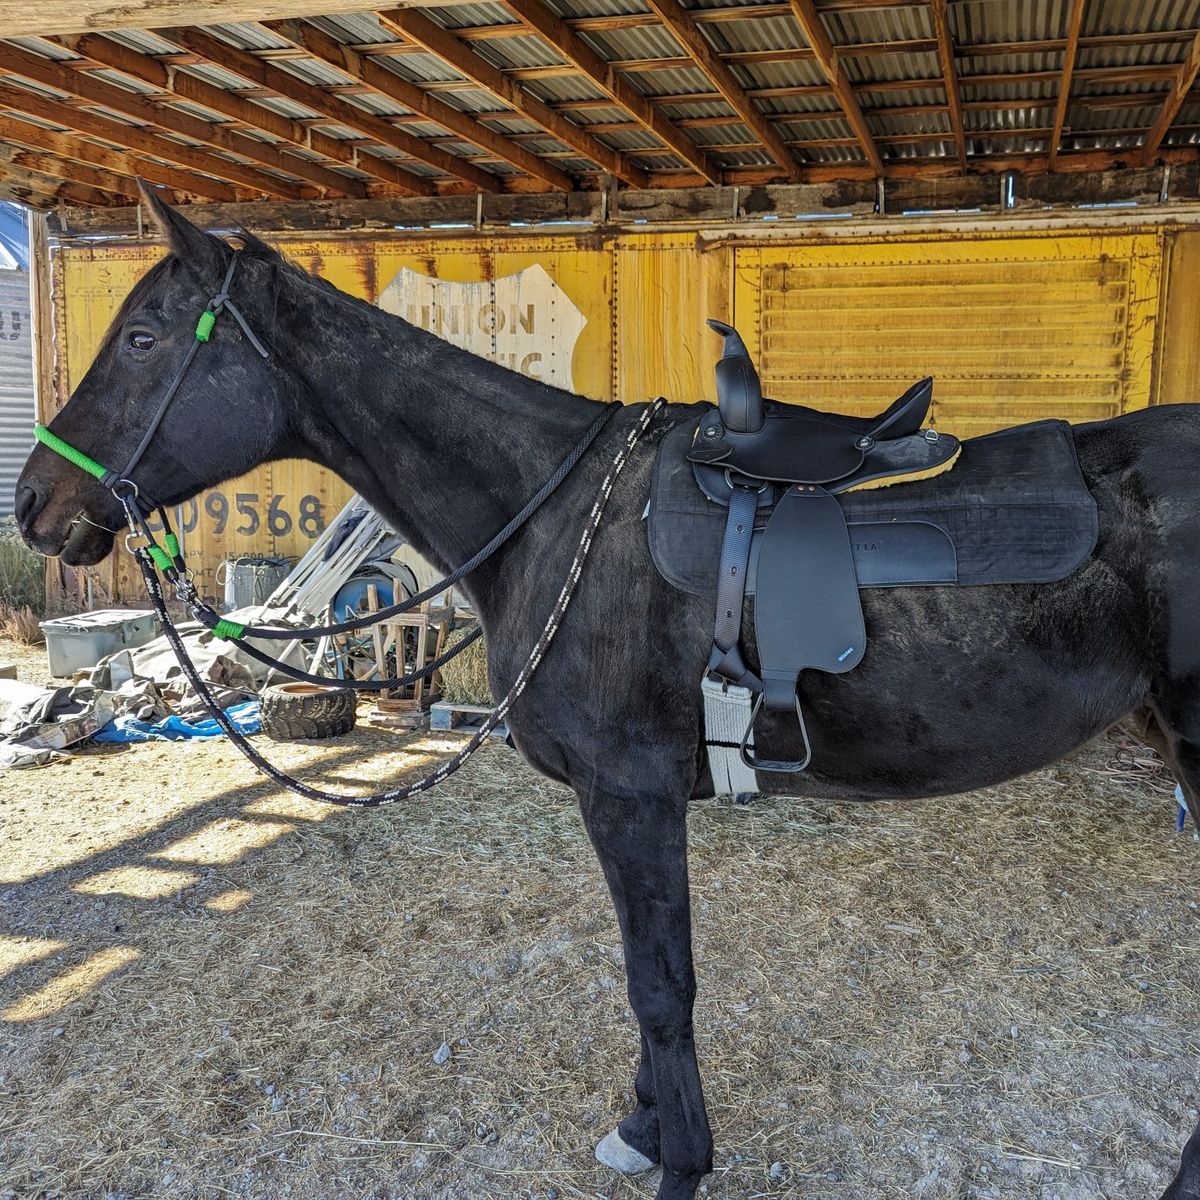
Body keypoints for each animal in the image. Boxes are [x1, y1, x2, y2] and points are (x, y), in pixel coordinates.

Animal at [15, 186, 1200, 1200]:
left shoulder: (629, 796)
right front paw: (642, 1129)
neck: (548, 514)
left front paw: (681, 1159)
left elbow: (660, 985)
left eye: (144, 338)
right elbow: (648, 978)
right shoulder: (627, 803)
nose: (34, 502)